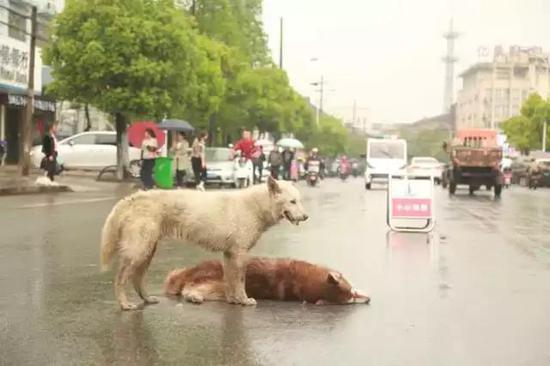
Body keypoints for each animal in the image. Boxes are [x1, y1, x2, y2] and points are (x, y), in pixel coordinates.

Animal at [101, 176, 308, 310]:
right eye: (292, 201)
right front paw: (244, 300)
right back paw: (124, 304)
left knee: (137, 278)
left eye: (299, 201)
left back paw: (146, 299)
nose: (306, 217)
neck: (256, 206)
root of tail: (130, 199)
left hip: (147, 250)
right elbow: (240, 280)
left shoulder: (230, 254)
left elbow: (229, 280)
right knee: (120, 278)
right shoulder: (240, 253)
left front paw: (233, 300)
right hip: (139, 250)